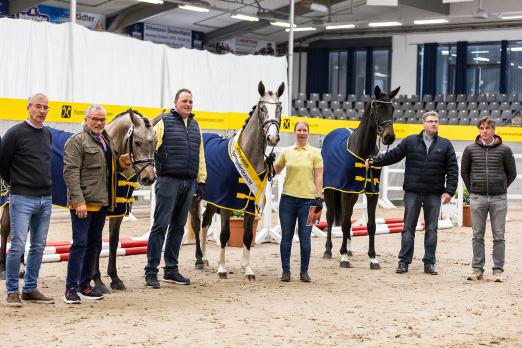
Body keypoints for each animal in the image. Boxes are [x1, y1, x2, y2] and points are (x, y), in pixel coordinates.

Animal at [188, 81, 282, 280]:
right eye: (262, 108)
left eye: (280, 108)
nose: (272, 137)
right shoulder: (226, 203)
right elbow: (225, 234)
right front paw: (222, 269)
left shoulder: (249, 204)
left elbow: (247, 235)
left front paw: (248, 269)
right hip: (195, 197)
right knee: (197, 223)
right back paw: (199, 259)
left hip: (212, 199)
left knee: (206, 223)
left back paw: (205, 258)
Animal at [320, 85, 398, 270]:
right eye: (378, 107)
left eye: (392, 108)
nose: (389, 137)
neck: (363, 151)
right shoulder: (346, 191)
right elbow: (345, 223)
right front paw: (343, 258)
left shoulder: (372, 193)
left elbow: (371, 225)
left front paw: (373, 258)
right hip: (331, 190)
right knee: (331, 217)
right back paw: (329, 250)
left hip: (354, 194)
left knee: (346, 217)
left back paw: (348, 249)